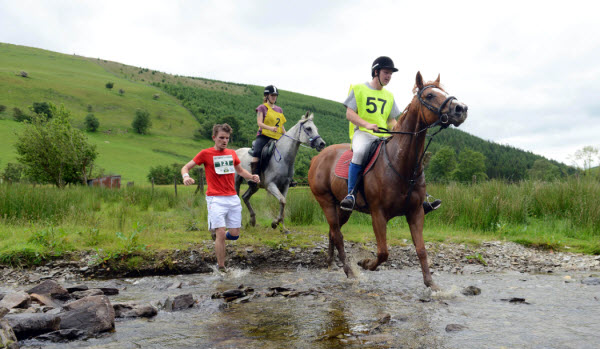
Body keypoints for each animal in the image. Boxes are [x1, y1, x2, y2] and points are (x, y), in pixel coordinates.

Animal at [310, 71, 468, 288]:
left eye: (444, 92)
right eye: (429, 96)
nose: (461, 109)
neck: (401, 164)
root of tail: (317, 157)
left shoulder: (416, 212)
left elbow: (421, 250)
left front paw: (431, 285)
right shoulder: (378, 214)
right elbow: (383, 252)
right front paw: (366, 263)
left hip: (341, 208)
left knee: (333, 232)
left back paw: (331, 263)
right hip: (325, 201)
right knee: (338, 234)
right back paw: (350, 271)